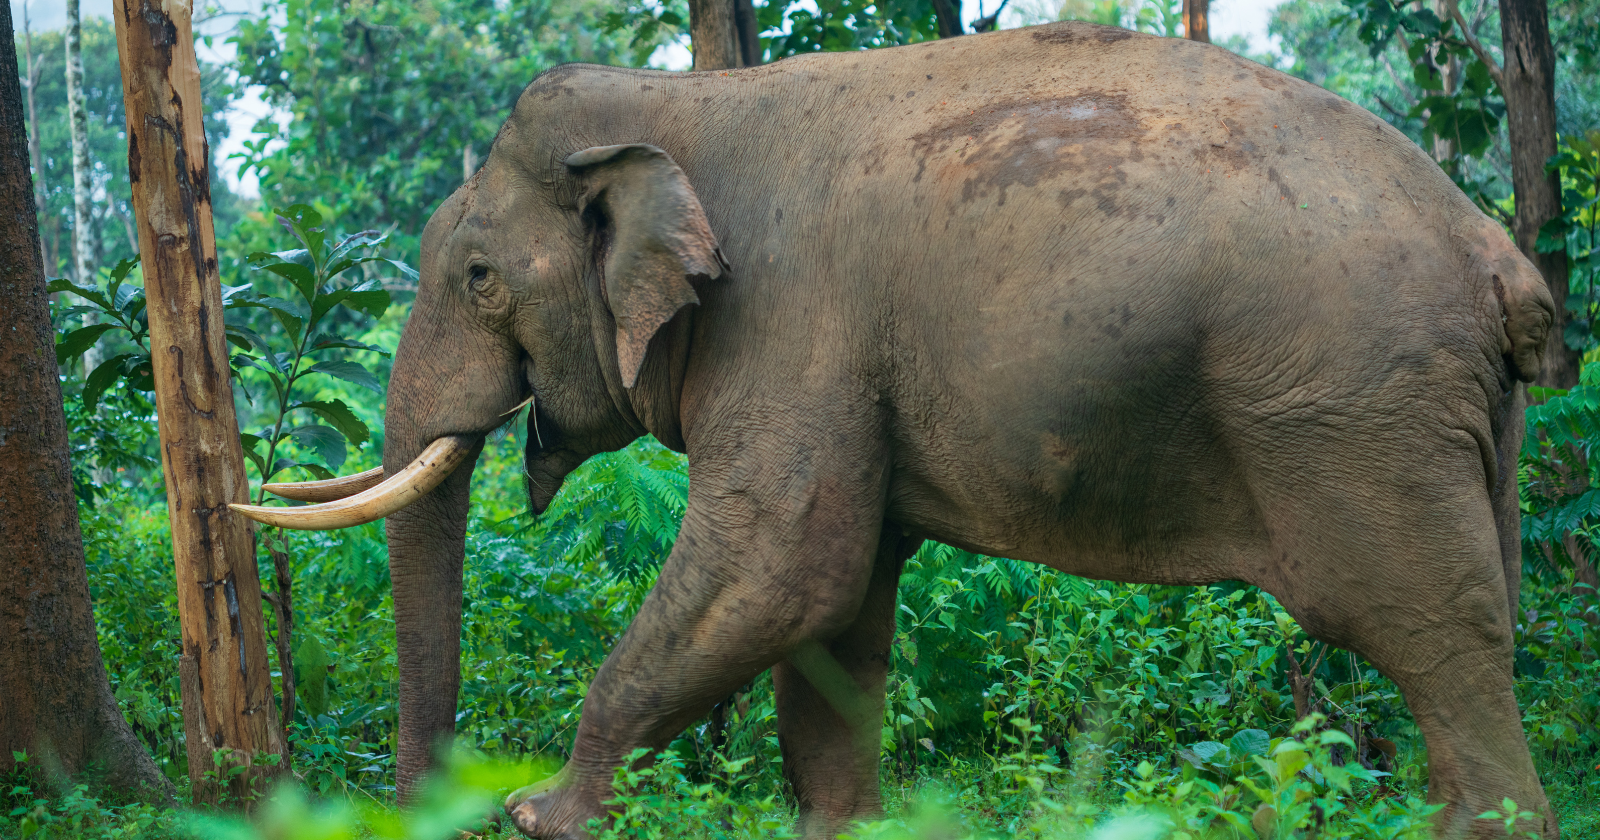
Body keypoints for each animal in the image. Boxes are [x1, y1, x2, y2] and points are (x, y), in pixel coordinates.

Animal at [235, 20, 1559, 840]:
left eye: (476, 280)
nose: (431, 808)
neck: (684, 104)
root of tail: (1496, 256)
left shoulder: (790, 320)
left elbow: (776, 569)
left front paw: (541, 817)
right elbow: (837, 604)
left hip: (1350, 409)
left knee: (1428, 625)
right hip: (1446, 415)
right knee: (1477, 607)